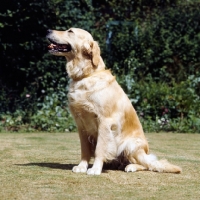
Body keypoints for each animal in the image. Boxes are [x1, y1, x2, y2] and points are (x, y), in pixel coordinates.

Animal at [46, 27, 181, 175]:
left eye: (70, 31)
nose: (48, 30)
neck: (86, 75)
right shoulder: (81, 124)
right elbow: (85, 149)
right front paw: (82, 166)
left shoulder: (105, 121)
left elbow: (100, 149)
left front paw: (95, 169)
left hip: (131, 145)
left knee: (146, 164)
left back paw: (131, 167)